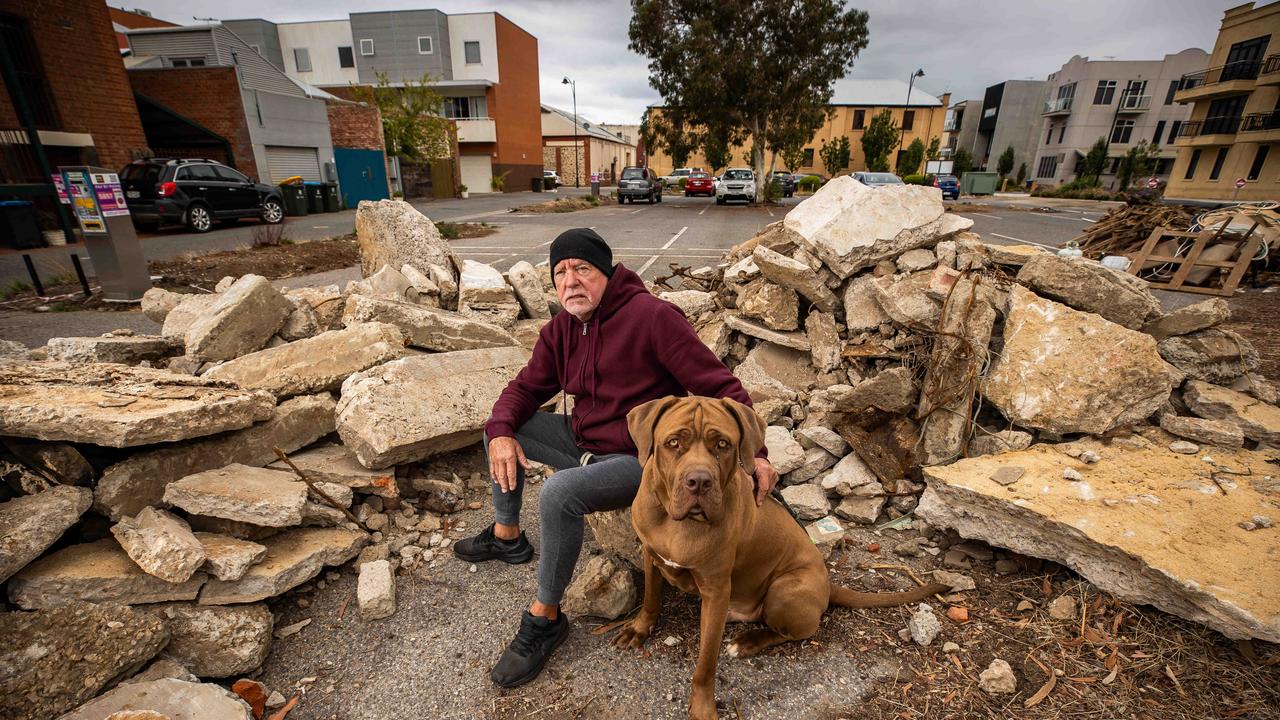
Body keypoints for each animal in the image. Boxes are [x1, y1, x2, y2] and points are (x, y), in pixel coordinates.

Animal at [619, 394, 952, 712]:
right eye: (673, 443)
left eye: (723, 445)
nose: (699, 481)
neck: (679, 523)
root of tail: (828, 585)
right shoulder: (651, 556)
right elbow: (650, 599)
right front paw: (638, 630)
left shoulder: (716, 589)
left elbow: (706, 663)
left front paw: (703, 706)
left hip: (785, 590)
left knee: (793, 631)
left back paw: (748, 642)